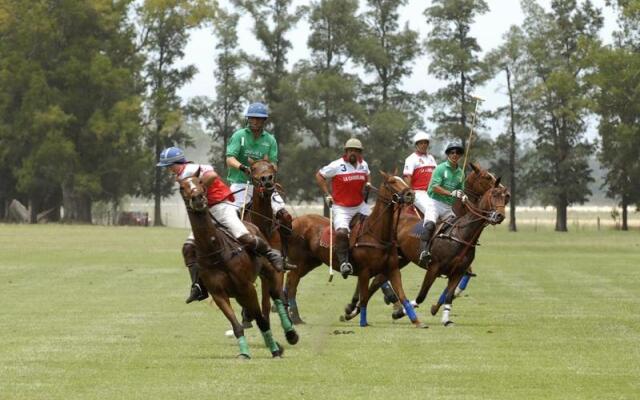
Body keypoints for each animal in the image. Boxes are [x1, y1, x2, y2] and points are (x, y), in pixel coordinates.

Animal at [178, 176, 300, 360]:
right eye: (182, 187)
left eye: (200, 183)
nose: (197, 198)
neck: (216, 252)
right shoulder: (219, 294)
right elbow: (236, 325)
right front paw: (244, 353)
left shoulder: (247, 288)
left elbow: (262, 319)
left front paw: (275, 350)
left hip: (267, 272)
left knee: (276, 297)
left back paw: (290, 333)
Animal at [284, 170, 424, 326]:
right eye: (392, 182)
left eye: (402, 180)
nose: (411, 194)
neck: (376, 233)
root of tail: (294, 220)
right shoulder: (365, 271)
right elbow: (364, 297)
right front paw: (361, 320)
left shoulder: (393, 269)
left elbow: (402, 295)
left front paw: (416, 321)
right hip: (298, 260)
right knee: (292, 283)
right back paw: (295, 317)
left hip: (310, 262)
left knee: (290, 280)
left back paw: (292, 315)